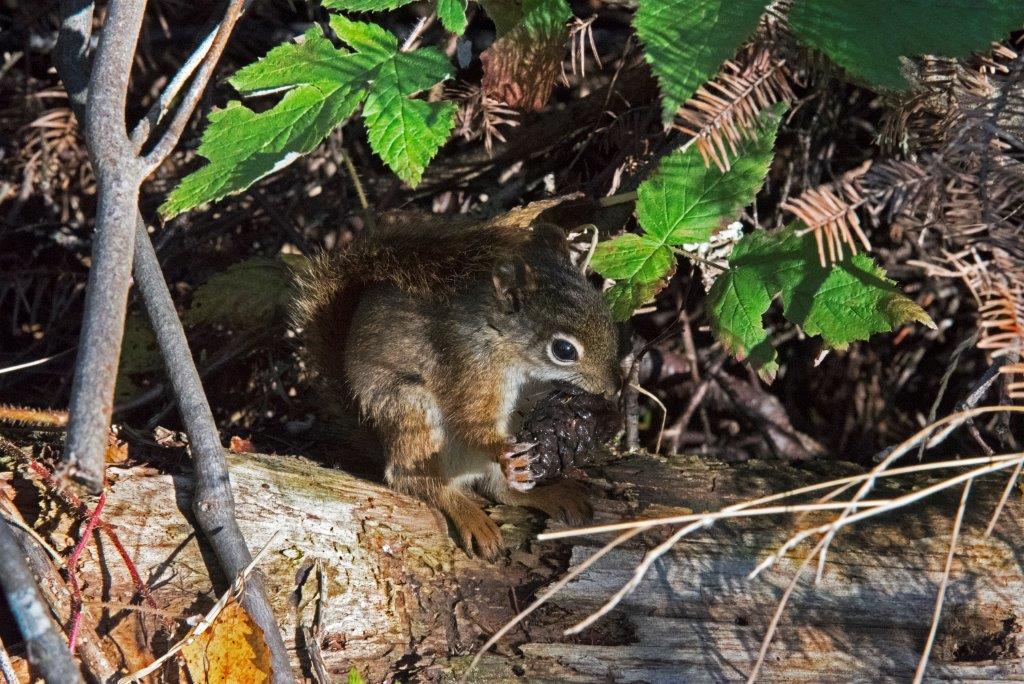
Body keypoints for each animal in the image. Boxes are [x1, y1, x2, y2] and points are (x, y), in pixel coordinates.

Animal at [292, 213, 622, 560]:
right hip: (411, 412)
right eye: (564, 350)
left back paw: (551, 494)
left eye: (607, 316)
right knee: (416, 481)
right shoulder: (467, 369)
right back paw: (470, 515)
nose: (614, 387)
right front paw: (502, 451)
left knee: (501, 491)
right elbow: (469, 422)